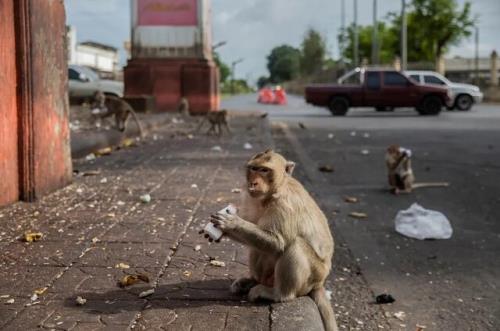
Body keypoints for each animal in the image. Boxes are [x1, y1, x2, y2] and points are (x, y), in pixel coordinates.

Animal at [205, 150, 338, 331]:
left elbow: (277, 243)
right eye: (253, 168)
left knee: (295, 246)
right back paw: (252, 281)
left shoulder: (285, 204)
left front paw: (232, 222)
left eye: (264, 170)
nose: (253, 183)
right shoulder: (250, 198)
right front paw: (222, 230)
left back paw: (278, 294)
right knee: (257, 246)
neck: (271, 194)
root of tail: (320, 283)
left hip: (313, 276)